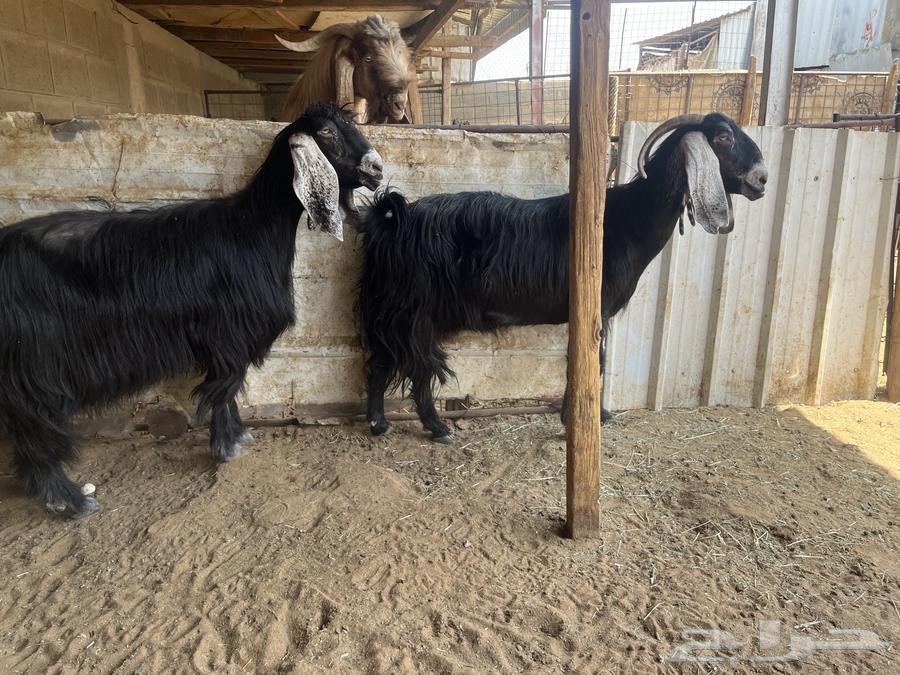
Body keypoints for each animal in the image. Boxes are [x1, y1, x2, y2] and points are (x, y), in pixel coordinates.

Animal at [0, 103, 383, 518]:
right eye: (326, 132)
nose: (377, 168)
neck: (251, 229)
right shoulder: (229, 333)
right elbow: (225, 386)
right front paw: (227, 446)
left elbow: (228, 387)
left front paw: (238, 435)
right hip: (35, 363)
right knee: (36, 425)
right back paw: (68, 498)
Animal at [357, 112, 767, 442]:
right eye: (723, 137)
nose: (762, 178)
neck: (625, 220)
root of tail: (393, 219)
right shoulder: (596, 309)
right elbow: (593, 362)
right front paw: (582, 420)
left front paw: (593, 415)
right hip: (413, 308)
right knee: (417, 367)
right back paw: (437, 427)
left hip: (393, 309)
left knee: (380, 361)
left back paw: (380, 424)